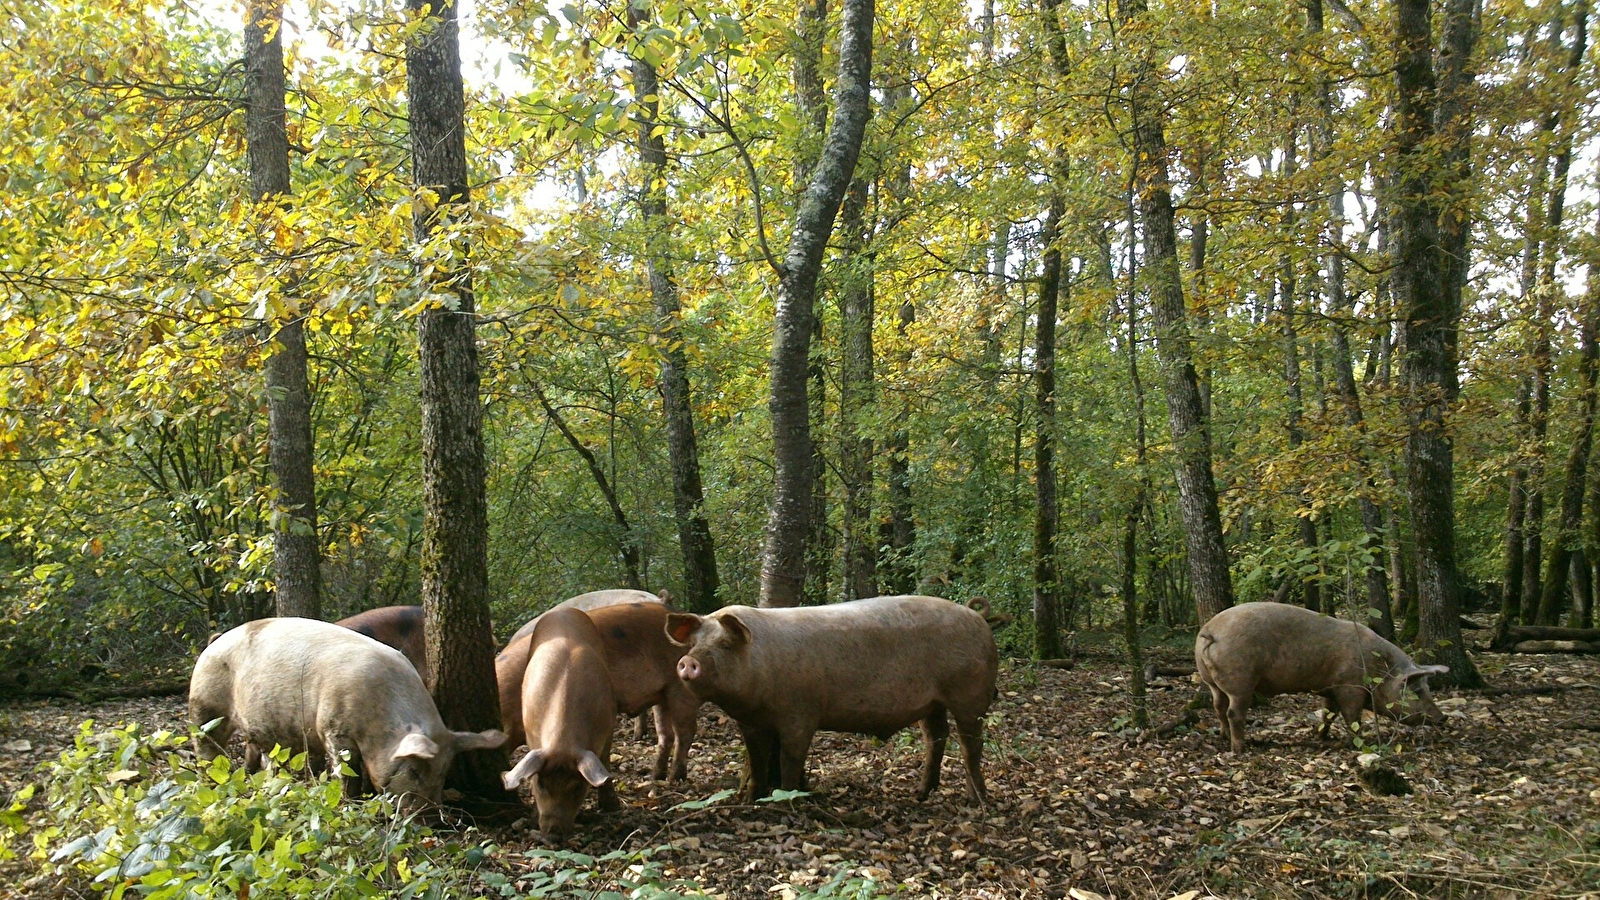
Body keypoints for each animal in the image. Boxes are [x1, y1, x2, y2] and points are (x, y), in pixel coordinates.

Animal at [187, 614, 512, 807]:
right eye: (414, 770)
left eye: (444, 773)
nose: (428, 816)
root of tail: (214, 642)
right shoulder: (334, 728)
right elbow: (346, 769)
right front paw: (350, 802)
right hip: (204, 704)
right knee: (206, 747)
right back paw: (211, 782)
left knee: (261, 755)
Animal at [499, 598, 700, 781]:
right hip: (662, 693)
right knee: (666, 734)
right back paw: (656, 776)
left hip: (681, 687)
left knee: (685, 733)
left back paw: (675, 779)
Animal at [502, 605, 614, 839]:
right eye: (541, 784)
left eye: (578, 788)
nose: (553, 834)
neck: (563, 741)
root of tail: (565, 609)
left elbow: (605, 760)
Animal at [665, 595, 992, 797]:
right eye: (693, 643)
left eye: (725, 644)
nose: (688, 661)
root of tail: (977, 615)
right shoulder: (751, 722)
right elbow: (757, 759)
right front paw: (751, 799)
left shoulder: (800, 715)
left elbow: (789, 759)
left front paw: (787, 798)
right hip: (932, 703)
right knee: (936, 737)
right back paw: (921, 794)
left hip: (970, 693)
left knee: (971, 744)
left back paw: (976, 799)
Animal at [1196, 598, 1459, 752]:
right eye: (1417, 690)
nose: (1443, 718)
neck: (1380, 670)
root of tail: (1210, 630)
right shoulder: (1350, 687)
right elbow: (1352, 716)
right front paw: (1360, 742)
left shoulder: (1330, 688)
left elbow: (1328, 713)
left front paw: (1322, 737)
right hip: (1240, 680)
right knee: (1233, 712)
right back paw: (1241, 748)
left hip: (1212, 681)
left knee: (1218, 706)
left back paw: (1223, 737)